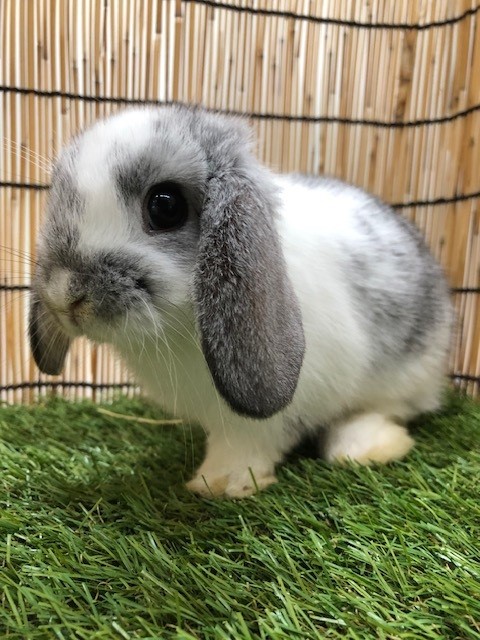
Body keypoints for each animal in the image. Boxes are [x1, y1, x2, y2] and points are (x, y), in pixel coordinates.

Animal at [29, 105, 453, 498]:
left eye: (165, 206)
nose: (65, 294)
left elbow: (249, 439)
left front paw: (220, 484)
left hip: (406, 371)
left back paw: (368, 449)